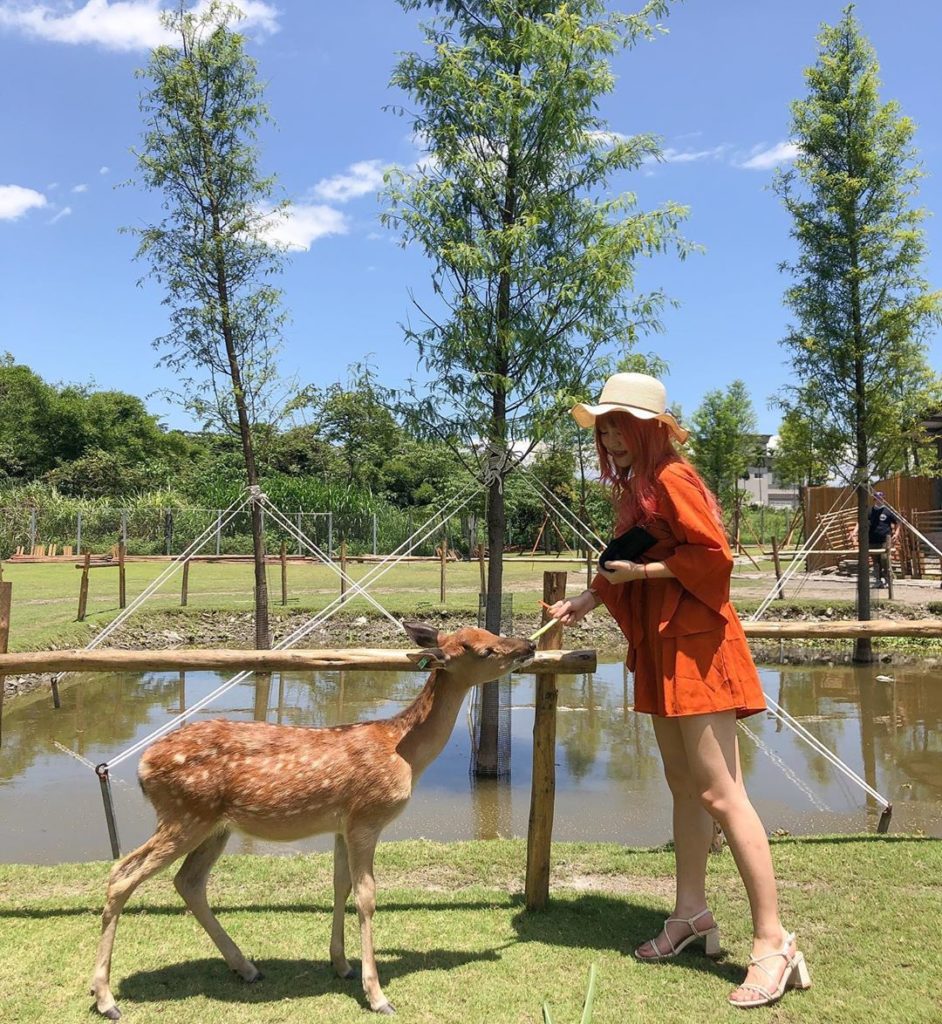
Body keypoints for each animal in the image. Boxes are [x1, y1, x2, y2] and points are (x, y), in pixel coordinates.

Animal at [90, 623, 536, 1019]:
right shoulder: (366, 817)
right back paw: (106, 999)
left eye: (490, 632)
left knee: (188, 881)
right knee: (123, 874)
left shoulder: (340, 825)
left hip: (214, 825)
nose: (528, 645)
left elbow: (340, 886)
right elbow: (366, 897)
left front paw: (341, 965)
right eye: (485, 650)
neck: (403, 753)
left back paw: (246, 968)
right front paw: (378, 995)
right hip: (184, 813)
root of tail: (143, 767)